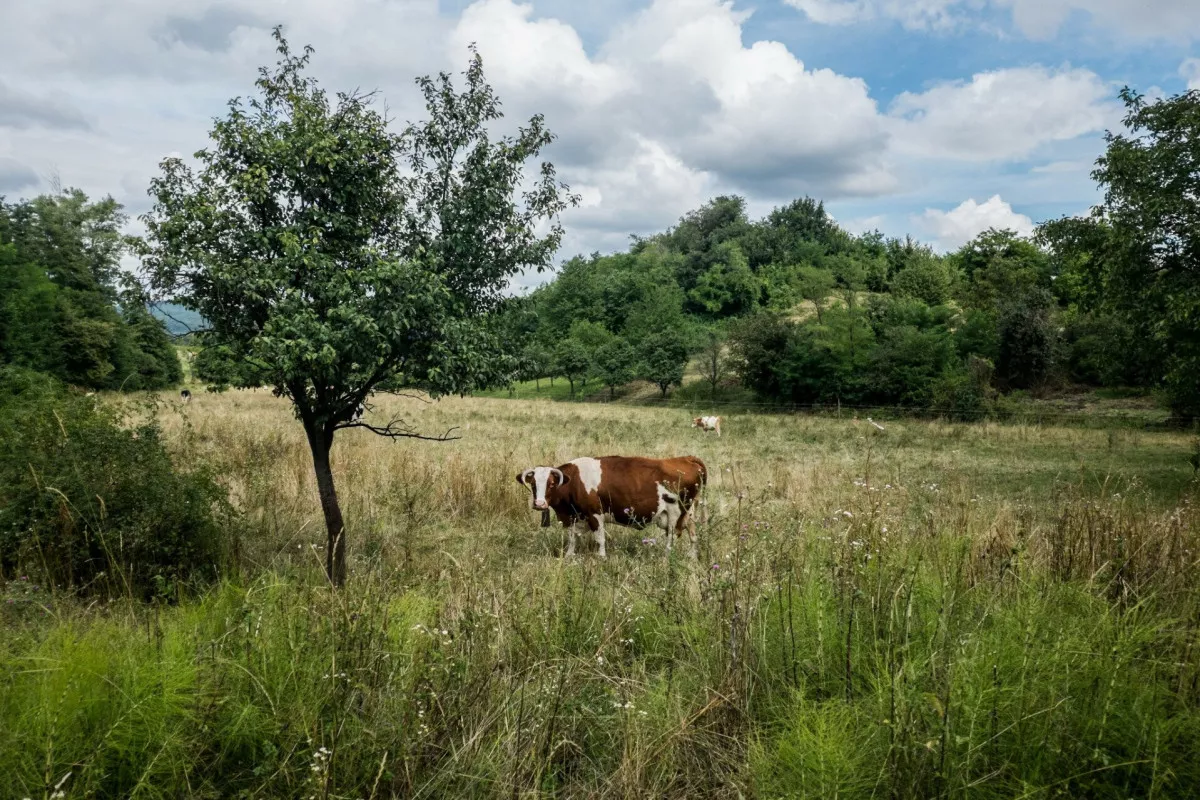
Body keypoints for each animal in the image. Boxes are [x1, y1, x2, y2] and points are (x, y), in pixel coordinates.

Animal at [513, 453, 700, 561]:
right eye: (533, 484)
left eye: (551, 484)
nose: (539, 504)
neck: (574, 481)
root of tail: (687, 458)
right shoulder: (573, 517)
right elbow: (572, 538)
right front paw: (569, 556)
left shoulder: (594, 514)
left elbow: (599, 538)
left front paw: (601, 558)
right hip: (689, 514)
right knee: (693, 534)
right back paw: (692, 557)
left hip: (675, 515)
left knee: (671, 539)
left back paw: (666, 558)